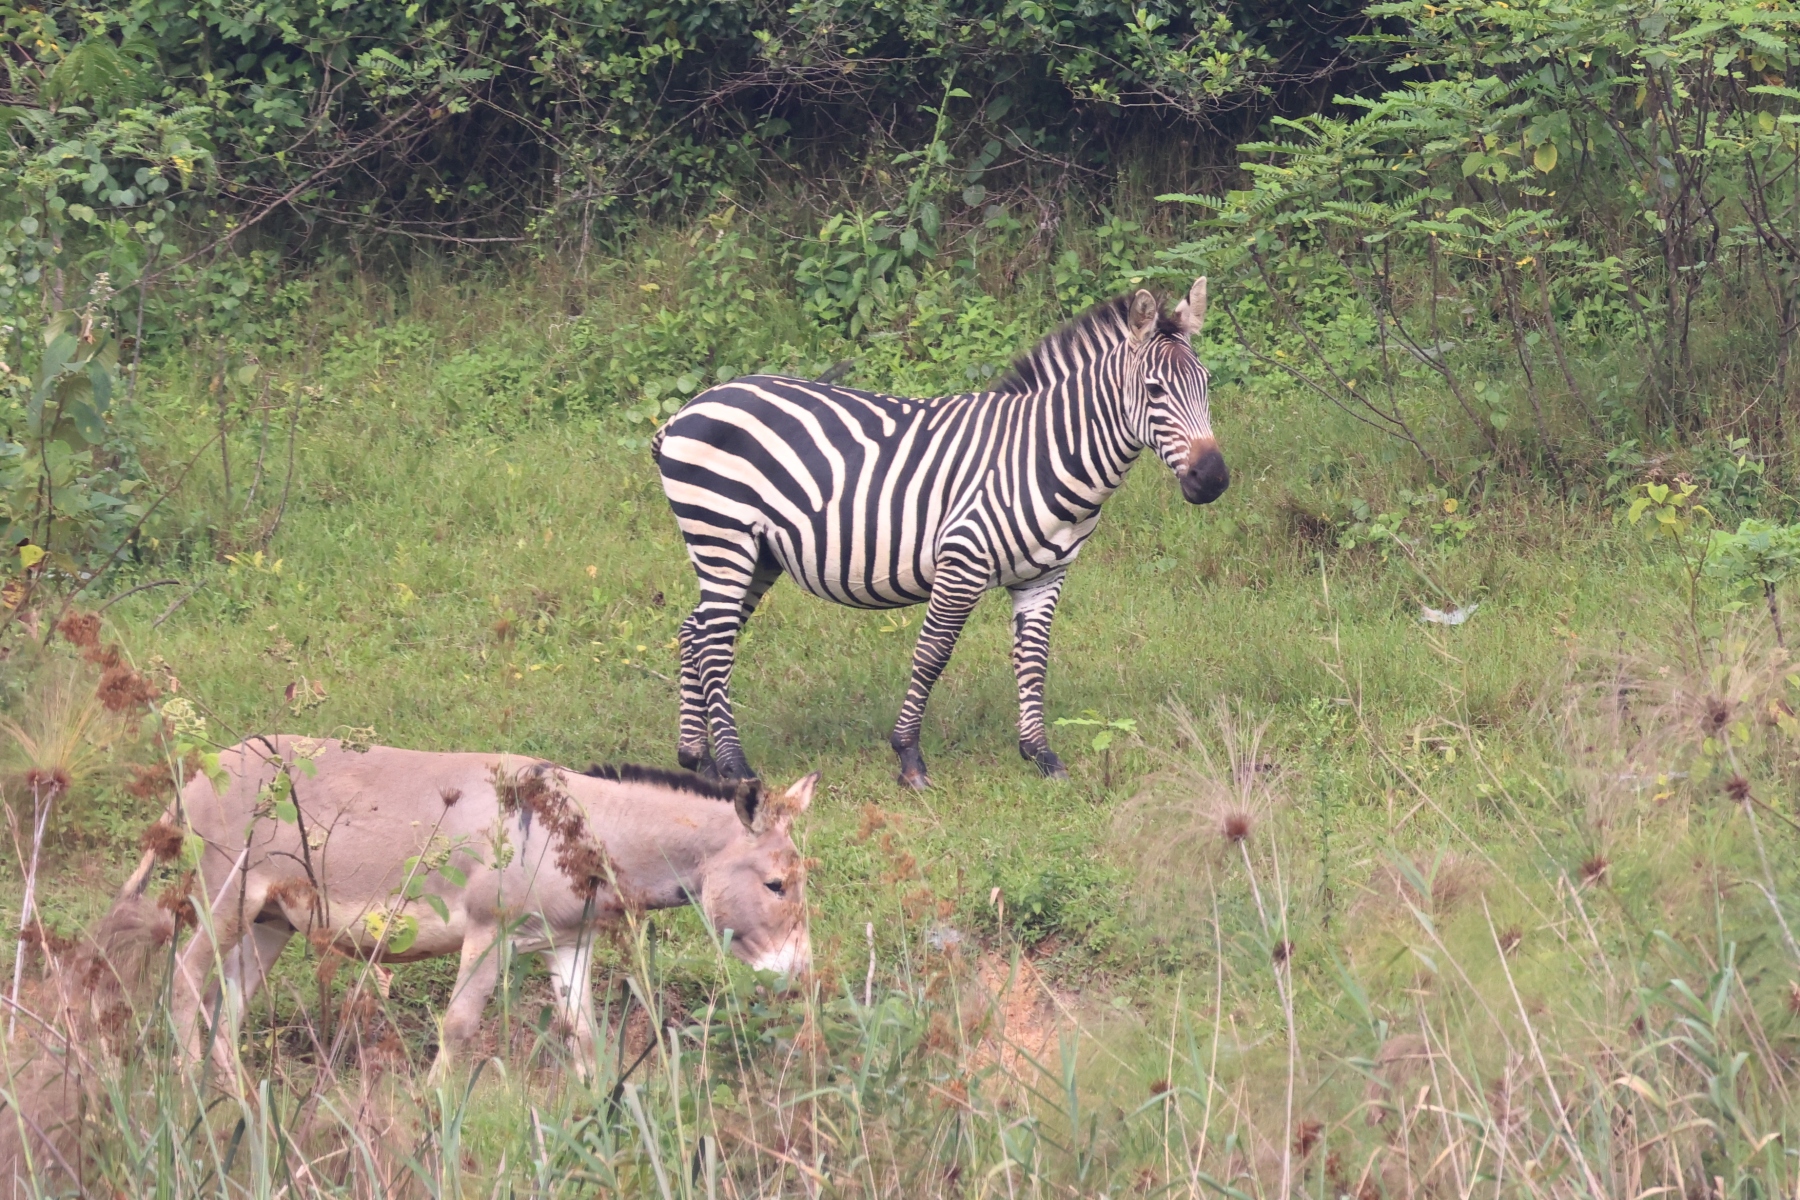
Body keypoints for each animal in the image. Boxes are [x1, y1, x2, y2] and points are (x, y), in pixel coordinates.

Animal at [652, 279, 1228, 788]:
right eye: (1154, 390)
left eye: (1205, 384)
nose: (1214, 479)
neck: (1042, 453)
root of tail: (690, 407)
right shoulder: (962, 560)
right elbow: (933, 654)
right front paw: (908, 758)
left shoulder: (1045, 577)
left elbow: (1033, 660)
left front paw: (1041, 756)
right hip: (722, 535)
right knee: (715, 643)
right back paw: (735, 768)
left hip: (757, 553)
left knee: (695, 631)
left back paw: (697, 759)